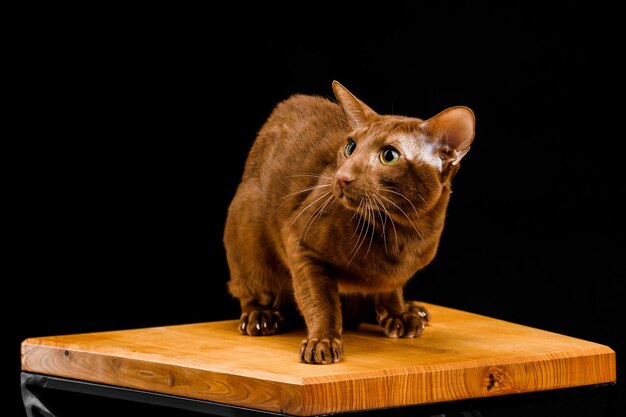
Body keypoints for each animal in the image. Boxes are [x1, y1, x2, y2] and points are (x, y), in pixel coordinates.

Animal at [224, 80, 472, 360]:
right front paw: (322, 340)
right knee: (248, 289)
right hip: (247, 228)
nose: (342, 177)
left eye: (389, 155)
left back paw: (411, 310)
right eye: (350, 147)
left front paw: (397, 313)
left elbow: (391, 289)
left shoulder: (392, 277)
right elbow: (322, 301)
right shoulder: (301, 246)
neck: (403, 234)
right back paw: (260, 316)